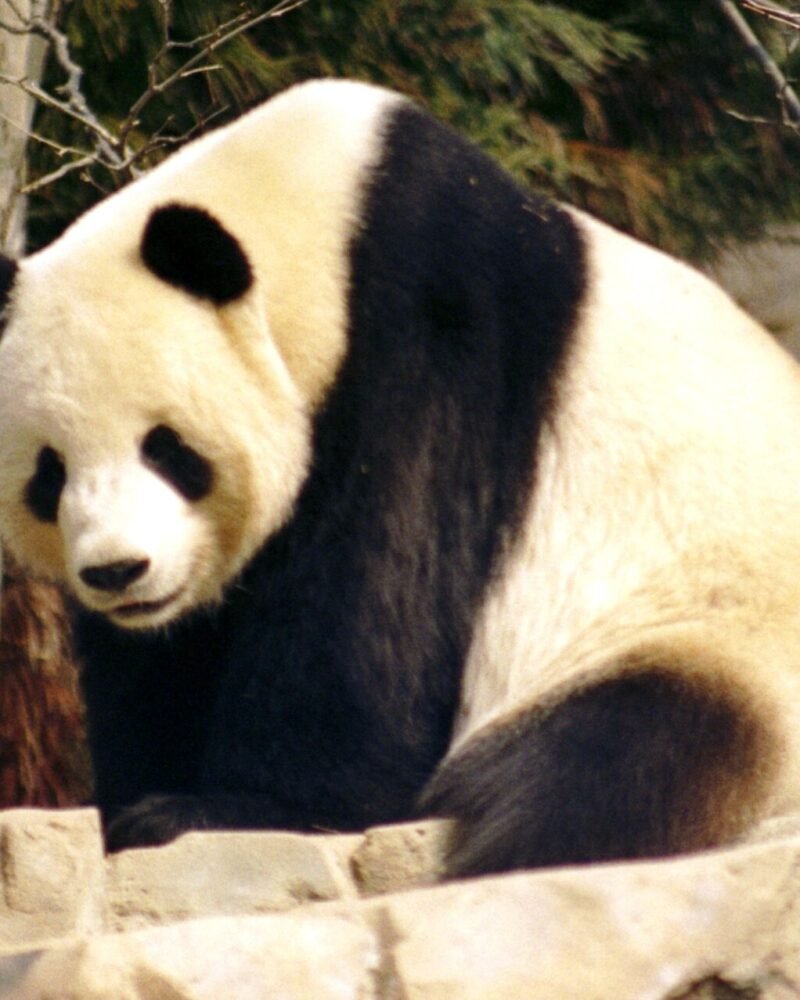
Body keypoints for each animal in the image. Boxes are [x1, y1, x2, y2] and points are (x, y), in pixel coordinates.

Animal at [2, 78, 800, 875]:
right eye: (49, 474)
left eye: (167, 449)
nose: (118, 571)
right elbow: (159, 660)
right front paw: (138, 798)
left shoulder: (429, 344)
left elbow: (376, 592)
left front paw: (229, 809)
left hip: (700, 631)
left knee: (616, 762)